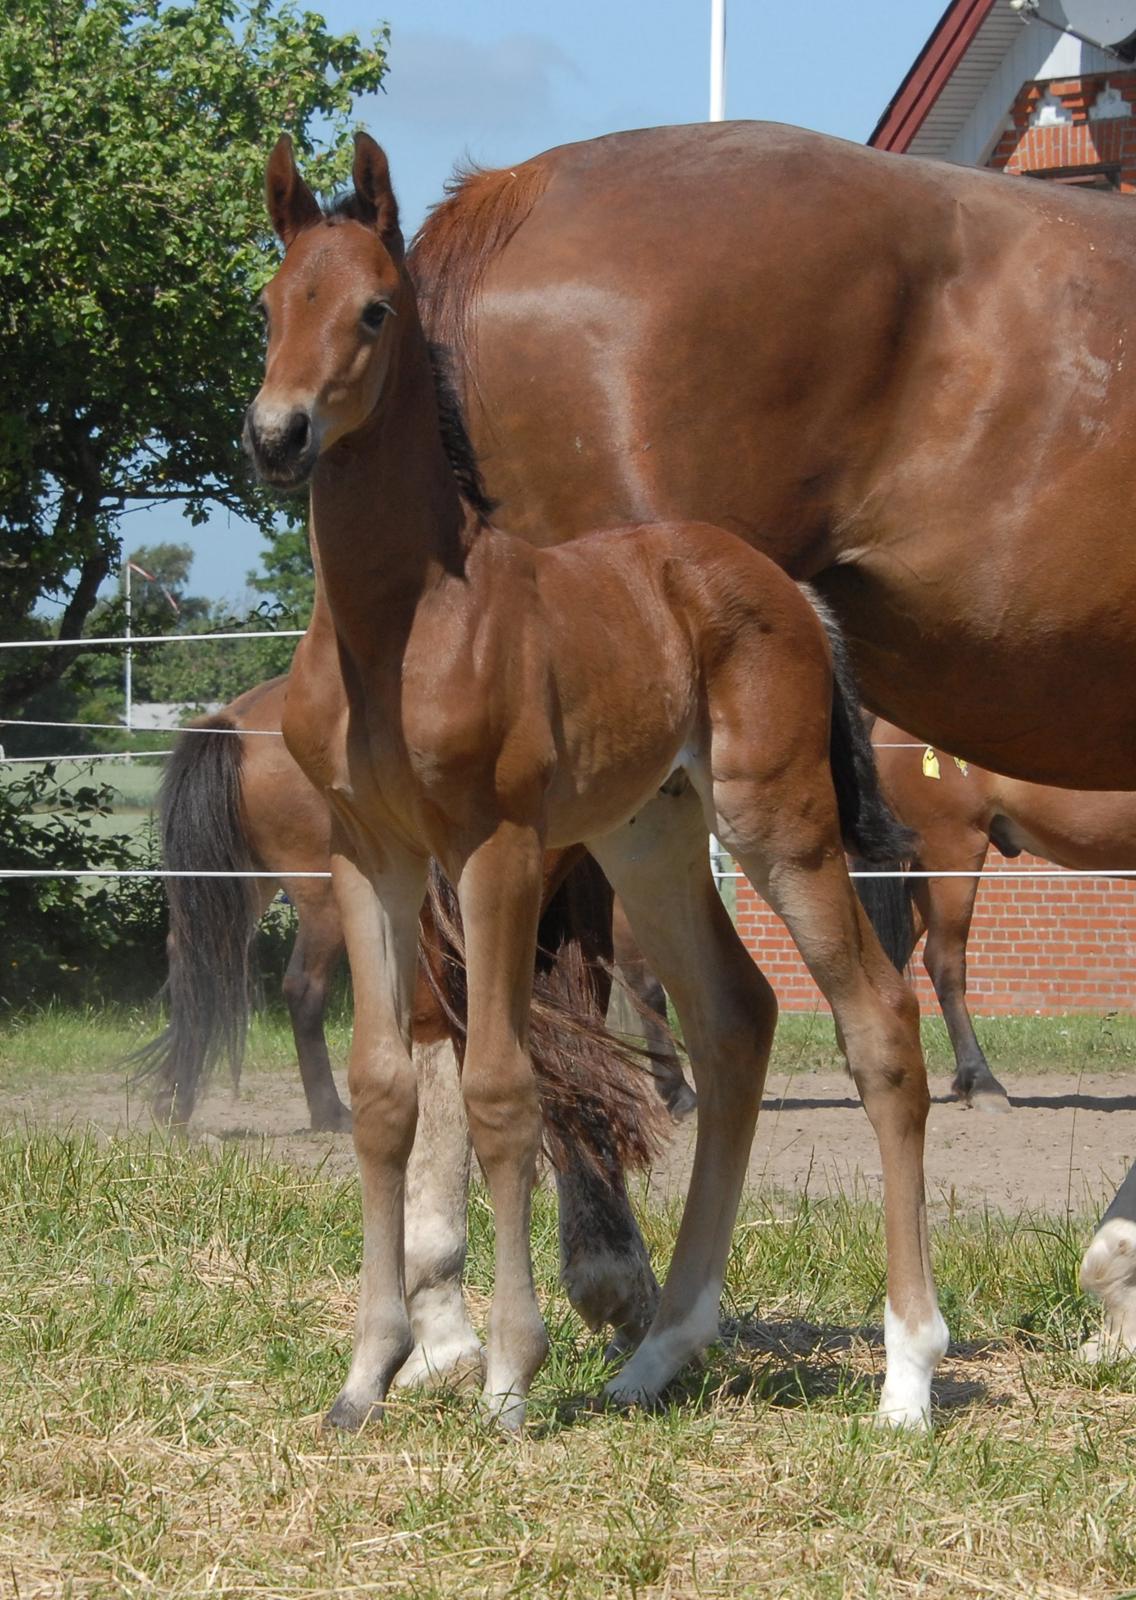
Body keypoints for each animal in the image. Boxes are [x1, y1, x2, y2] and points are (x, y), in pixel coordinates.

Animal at [249, 137, 953, 1433]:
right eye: (271, 305)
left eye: (373, 308)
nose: (277, 434)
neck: (400, 620)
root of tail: (784, 589)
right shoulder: (367, 854)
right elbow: (383, 1093)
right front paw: (366, 1375)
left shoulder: (496, 846)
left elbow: (498, 1087)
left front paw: (508, 1374)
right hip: (648, 837)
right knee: (735, 1018)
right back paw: (658, 1350)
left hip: (774, 822)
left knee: (876, 1018)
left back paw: (907, 1373)